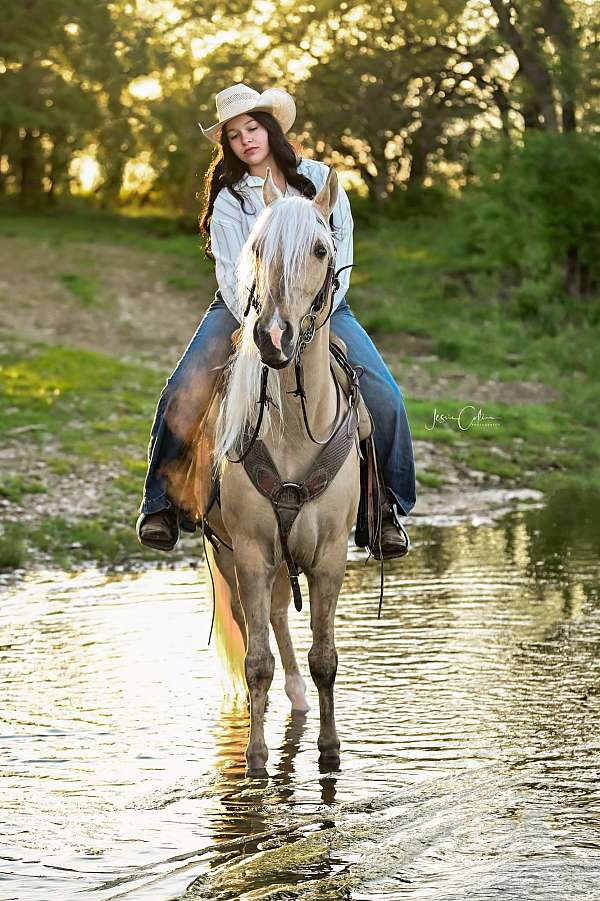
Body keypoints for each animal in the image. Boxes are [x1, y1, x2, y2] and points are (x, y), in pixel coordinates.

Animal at [192, 166, 369, 774]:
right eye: (257, 248)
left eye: (321, 249)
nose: (273, 337)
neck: (292, 427)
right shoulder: (248, 551)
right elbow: (255, 661)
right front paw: (255, 758)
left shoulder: (331, 555)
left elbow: (325, 657)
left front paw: (331, 751)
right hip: (232, 557)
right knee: (261, 625)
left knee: (276, 619)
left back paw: (297, 701)